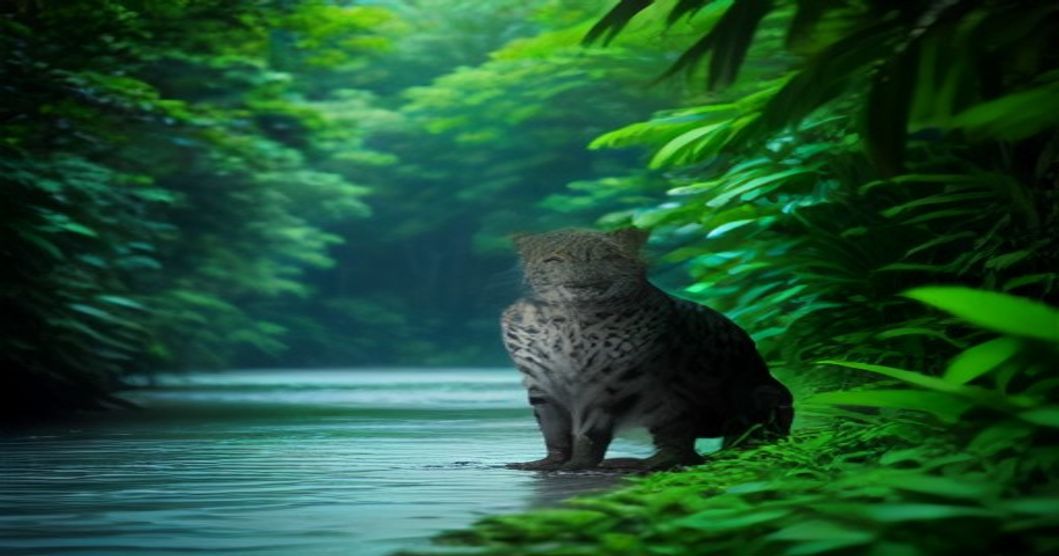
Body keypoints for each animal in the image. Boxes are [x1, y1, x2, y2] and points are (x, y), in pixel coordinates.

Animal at [500, 227, 793, 471]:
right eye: (554, 260)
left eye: (609, 257)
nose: (584, 281)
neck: (567, 321)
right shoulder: (542, 385)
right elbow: (554, 430)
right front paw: (550, 462)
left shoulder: (606, 384)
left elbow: (589, 432)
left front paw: (578, 465)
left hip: (756, 394)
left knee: (685, 450)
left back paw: (635, 463)